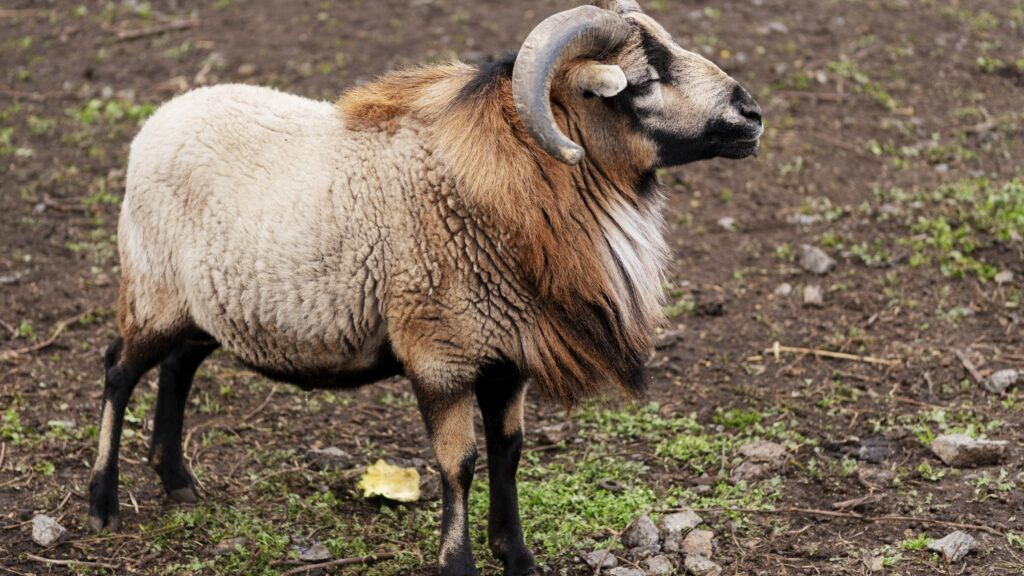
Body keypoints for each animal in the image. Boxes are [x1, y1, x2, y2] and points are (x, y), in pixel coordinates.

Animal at [88, 2, 761, 569]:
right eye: (642, 81)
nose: (751, 114)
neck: (512, 189)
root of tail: (161, 119)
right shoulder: (441, 355)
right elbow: (458, 464)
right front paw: (458, 564)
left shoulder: (507, 355)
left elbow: (509, 450)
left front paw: (516, 556)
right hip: (152, 290)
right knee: (119, 368)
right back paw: (103, 504)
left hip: (209, 307)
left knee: (179, 366)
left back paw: (178, 481)